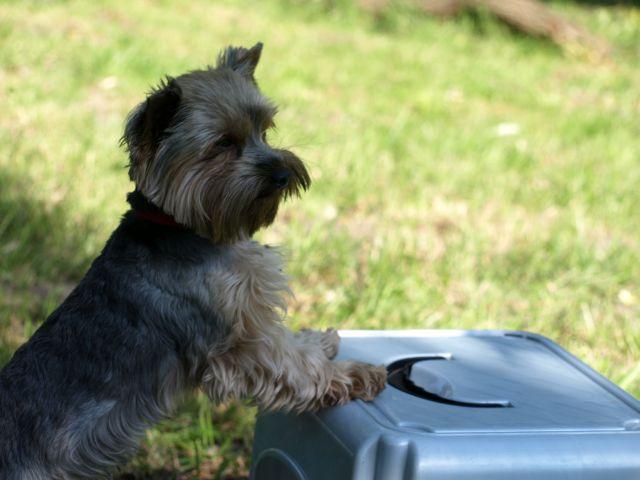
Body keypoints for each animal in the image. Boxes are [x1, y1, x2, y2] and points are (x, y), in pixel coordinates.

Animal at [0, 43, 384, 478]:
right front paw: (356, 375)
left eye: (265, 131)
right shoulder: (235, 343)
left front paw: (318, 340)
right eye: (223, 144)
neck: (187, 229)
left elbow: (289, 343)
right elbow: (292, 364)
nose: (283, 173)